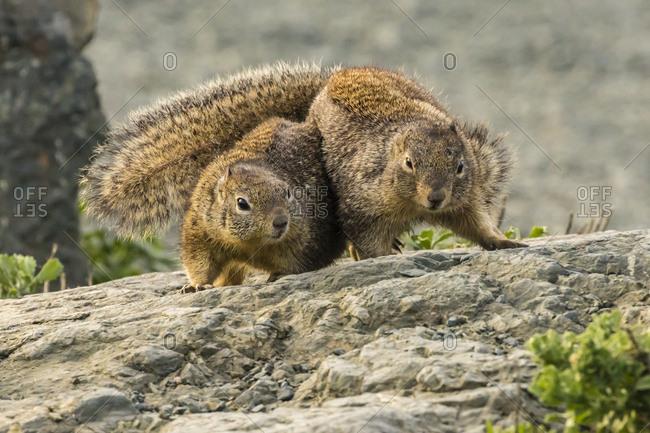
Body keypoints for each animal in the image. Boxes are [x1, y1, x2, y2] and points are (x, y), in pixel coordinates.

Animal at [307, 67, 527, 259]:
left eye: (460, 167)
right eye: (409, 163)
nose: (436, 197)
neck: (414, 205)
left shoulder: (467, 200)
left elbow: (478, 224)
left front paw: (504, 241)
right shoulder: (362, 207)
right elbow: (367, 241)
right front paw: (379, 256)